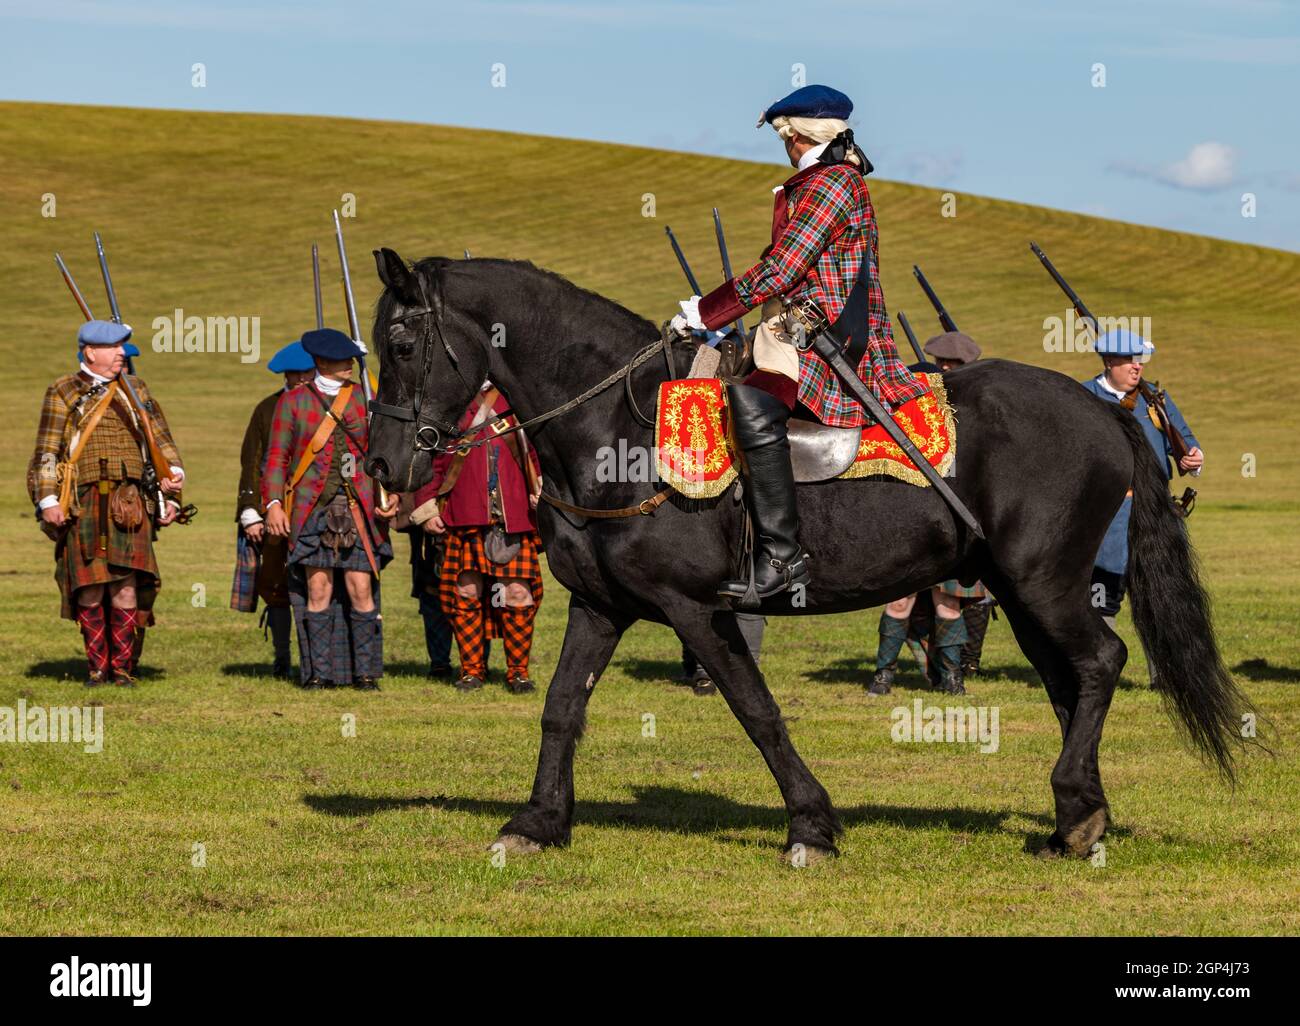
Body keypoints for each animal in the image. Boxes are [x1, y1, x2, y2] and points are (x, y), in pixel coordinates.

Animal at [361, 252, 1242, 858]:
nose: (380, 466)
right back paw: (1078, 816)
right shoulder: (601, 604)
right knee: (1071, 681)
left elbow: (756, 709)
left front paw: (812, 825)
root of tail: (1103, 411)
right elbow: (560, 707)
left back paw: (1076, 807)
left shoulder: (695, 608)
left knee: (1099, 662)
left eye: (402, 342)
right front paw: (538, 822)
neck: (616, 429)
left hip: (1044, 583)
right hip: (1022, 592)